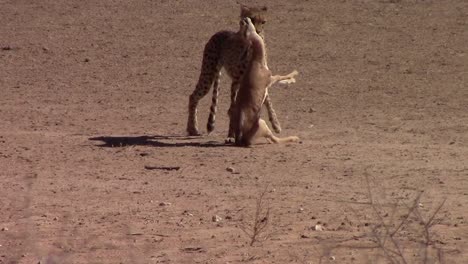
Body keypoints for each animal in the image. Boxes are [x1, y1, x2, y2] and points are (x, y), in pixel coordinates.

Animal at [187, 4, 284, 138]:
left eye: (263, 22)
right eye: (252, 19)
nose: (258, 31)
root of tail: (220, 31)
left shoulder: (260, 80)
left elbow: (267, 102)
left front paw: (276, 124)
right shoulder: (236, 81)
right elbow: (233, 108)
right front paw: (231, 135)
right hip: (208, 74)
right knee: (193, 96)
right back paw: (192, 128)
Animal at [233, 17, 300, 146]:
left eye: (243, 27)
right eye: (245, 30)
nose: (244, 19)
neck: (257, 62)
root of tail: (242, 139)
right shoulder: (270, 79)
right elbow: (279, 76)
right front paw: (294, 75)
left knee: (272, 140)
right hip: (262, 124)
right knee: (275, 139)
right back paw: (295, 138)